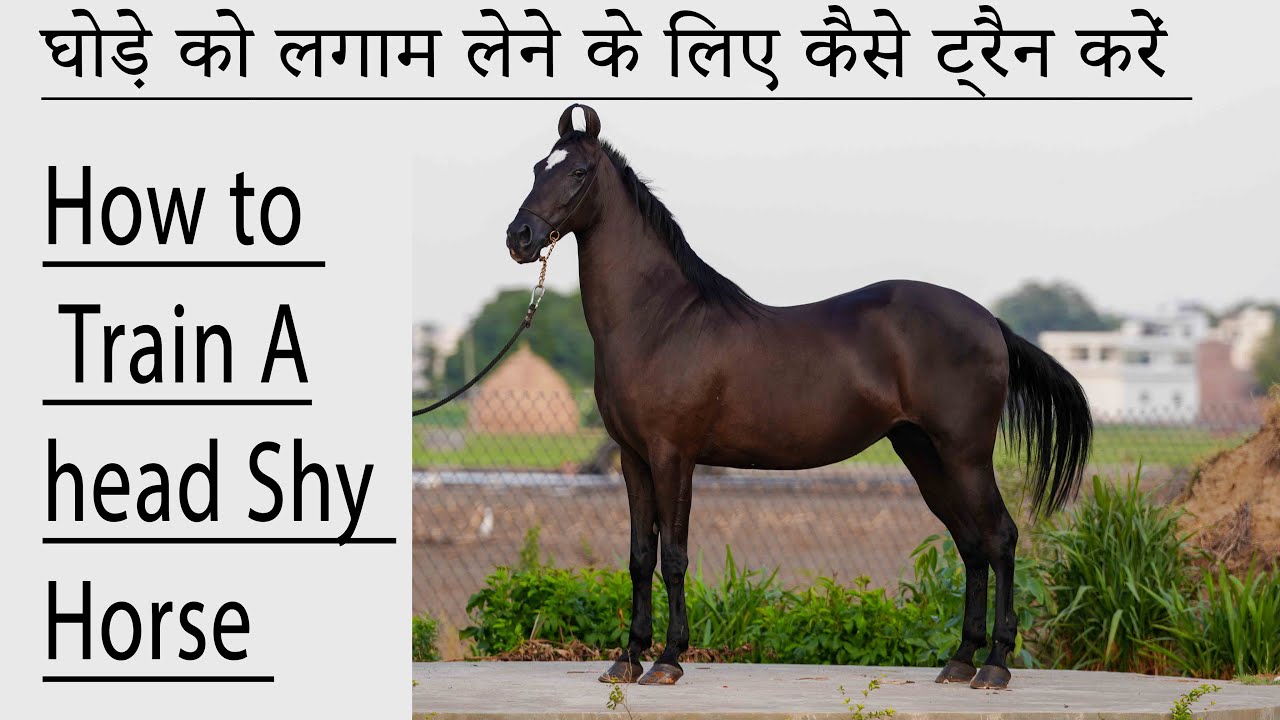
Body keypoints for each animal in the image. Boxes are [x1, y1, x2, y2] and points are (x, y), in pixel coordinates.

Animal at [503, 104, 1092, 689]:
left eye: (578, 172)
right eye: (536, 167)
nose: (520, 236)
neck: (661, 320)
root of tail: (989, 321)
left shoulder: (674, 457)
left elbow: (674, 557)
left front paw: (668, 660)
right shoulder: (633, 459)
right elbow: (639, 557)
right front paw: (627, 658)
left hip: (965, 454)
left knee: (1000, 537)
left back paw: (995, 664)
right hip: (924, 454)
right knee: (971, 543)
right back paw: (960, 660)